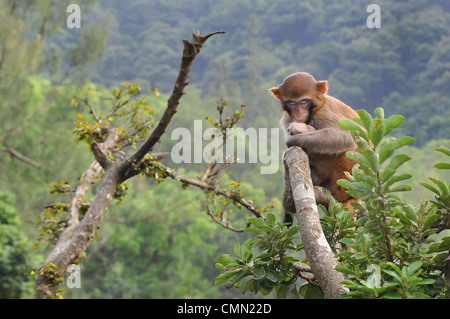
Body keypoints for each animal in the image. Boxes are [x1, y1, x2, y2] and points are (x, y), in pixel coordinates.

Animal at [268, 72, 360, 225]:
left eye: (304, 102)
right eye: (292, 103)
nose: (299, 114)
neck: (318, 105)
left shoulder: (323, 114)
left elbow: (347, 137)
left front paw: (294, 138)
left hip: (343, 170)